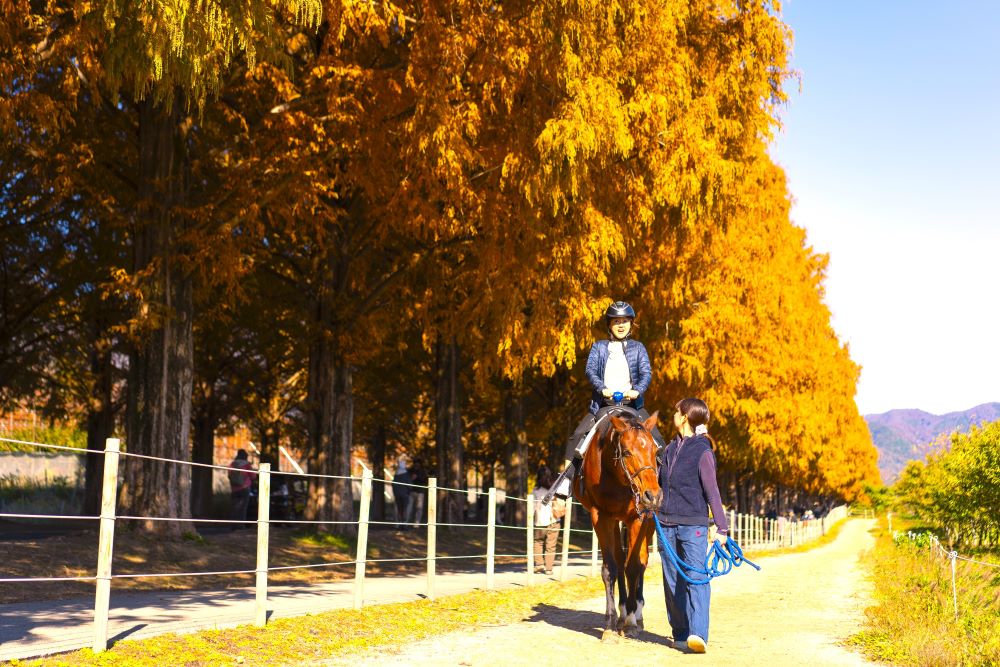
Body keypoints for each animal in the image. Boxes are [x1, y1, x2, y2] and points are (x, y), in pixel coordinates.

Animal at [572, 408, 664, 640]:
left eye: (654, 451)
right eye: (627, 453)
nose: (653, 495)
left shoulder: (639, 517)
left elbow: (633, 567)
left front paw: (631, 622)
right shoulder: (600, 516)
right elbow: (611, 569)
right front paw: (611, 623)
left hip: (648, 521)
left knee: (642, 561)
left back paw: (636, 613)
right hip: (614, 521)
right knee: (620, 560)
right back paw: (623, 612)